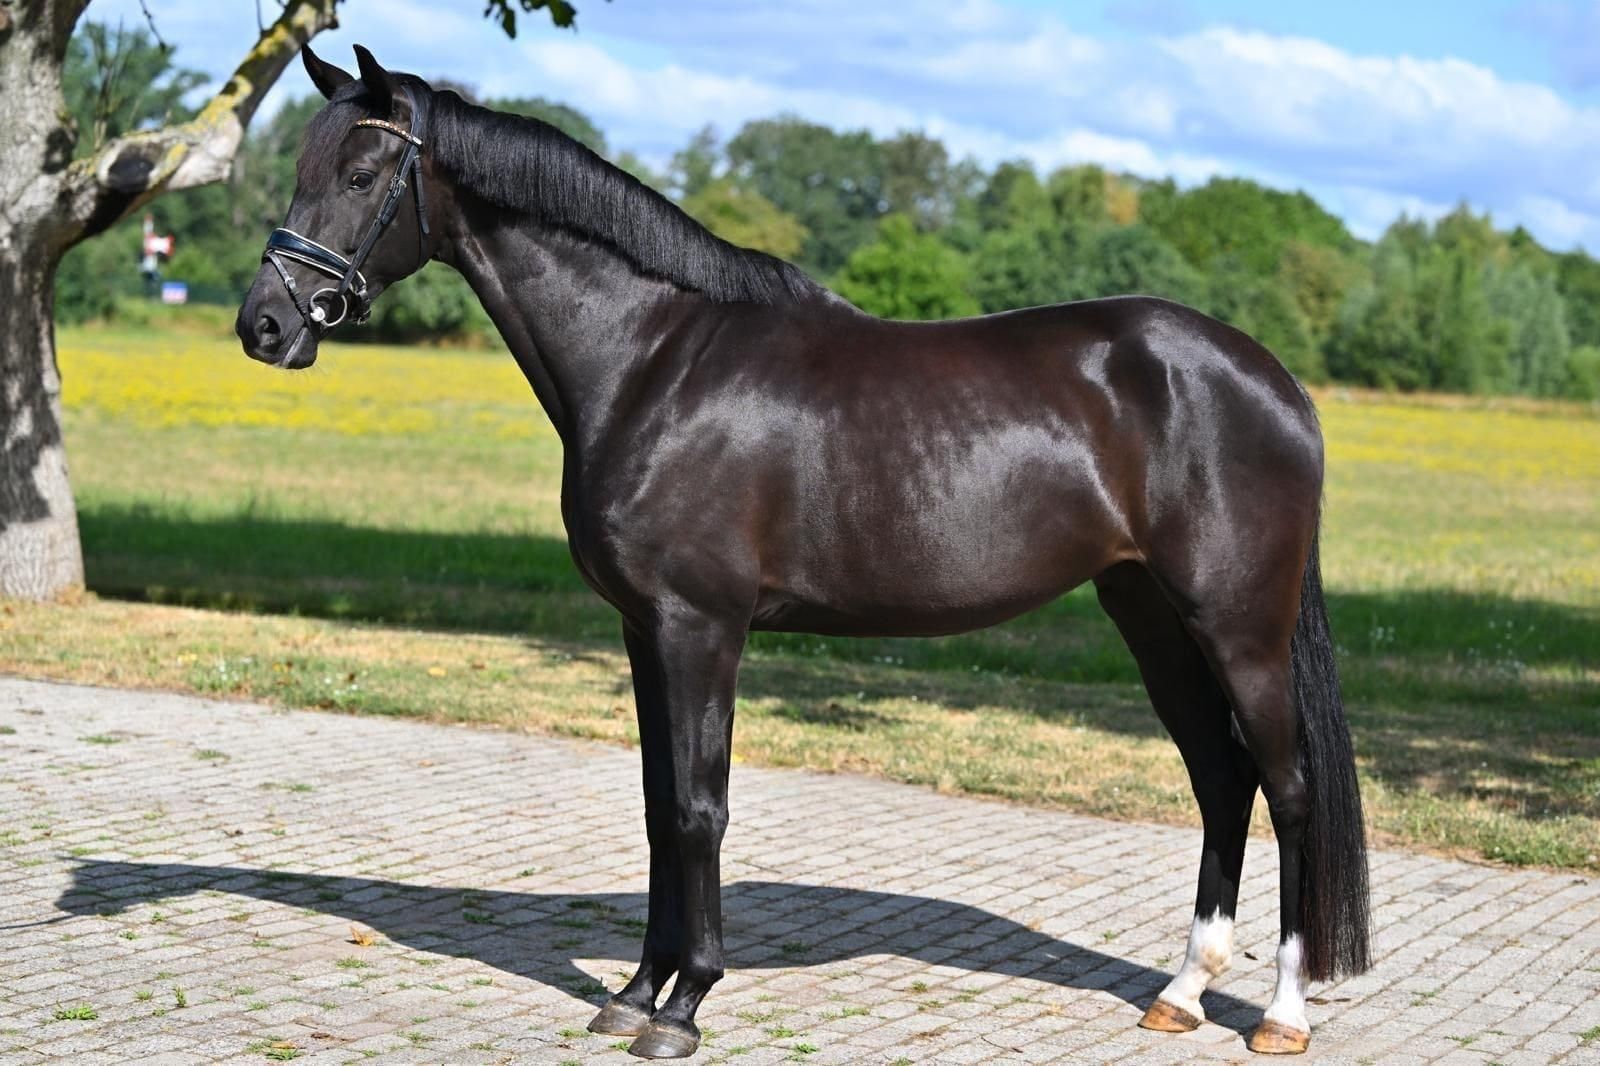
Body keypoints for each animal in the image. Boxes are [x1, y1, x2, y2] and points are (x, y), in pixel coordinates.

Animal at [236, 44, 1371, 1060]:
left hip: (1238, 627)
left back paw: (1281, 1015)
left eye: (364, 174)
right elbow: (658, 806)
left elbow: (699, 807)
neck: (655, 360)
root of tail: (1275, 381)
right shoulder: (643, 630)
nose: (266, 326)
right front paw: (633, 995)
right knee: (1221, 780)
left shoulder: (702, 628)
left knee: (1288, 786)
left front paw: (684, 1006)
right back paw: (1180, 994)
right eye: (302, 167)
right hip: (1148, 616)